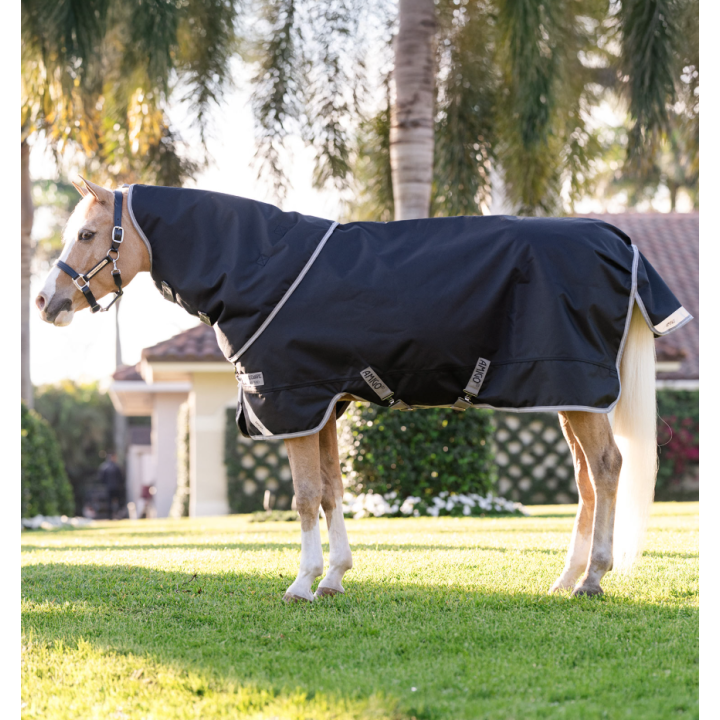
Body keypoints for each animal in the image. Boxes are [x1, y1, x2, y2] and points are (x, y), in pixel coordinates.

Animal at [37, 177, 664, 601]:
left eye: (88, 234)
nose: (45, 302)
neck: (256, 267)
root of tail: (618, 241)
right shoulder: (325, 405)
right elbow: (333, 490)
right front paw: (335, 577)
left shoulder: (292, 401)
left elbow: (304, 495)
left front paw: (302, 582)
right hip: (569, 395)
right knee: (586, 478)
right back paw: (566, 578)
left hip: (578, 389)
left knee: (607, 467)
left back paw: (594, 578)